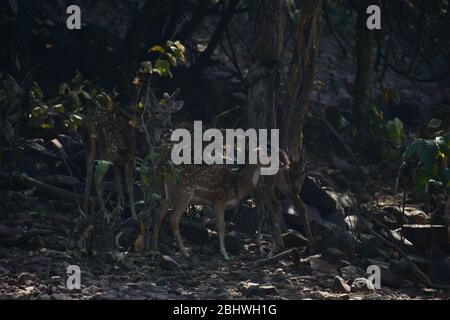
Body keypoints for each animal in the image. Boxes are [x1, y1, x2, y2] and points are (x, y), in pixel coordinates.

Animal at [83, 91, 184, 219]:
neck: (145, 140)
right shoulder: (130, 157)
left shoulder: (117, 162)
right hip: (108, 149)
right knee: (97, 177)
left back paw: (85, 212)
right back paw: (105, 215)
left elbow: (118, 187)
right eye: (156, 112)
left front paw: (118, 212)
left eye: (170, 112)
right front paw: (134, 216)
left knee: (88, 174)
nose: (169, 124)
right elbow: (130, 188)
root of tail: (91, 120)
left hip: (89, 144)